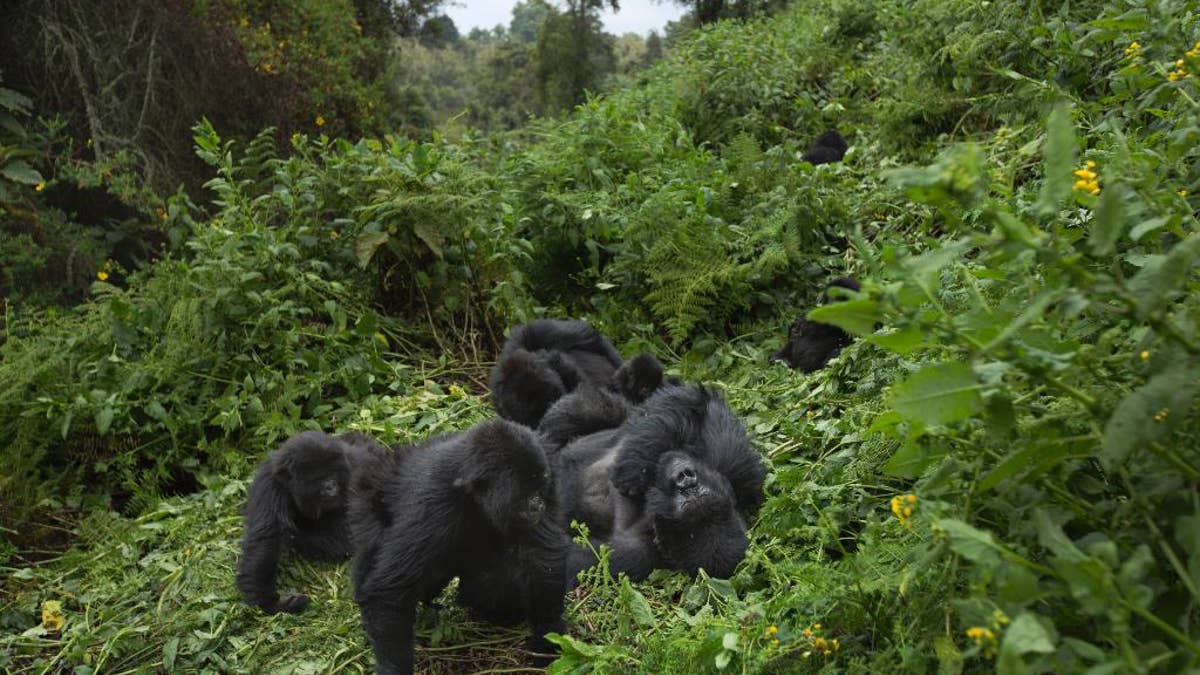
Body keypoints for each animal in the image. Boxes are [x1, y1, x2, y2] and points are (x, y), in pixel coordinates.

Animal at [241, 427, 391, 612]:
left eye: (332, 473)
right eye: (318, 478)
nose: (331, 486)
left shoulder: (356, 466)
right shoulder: (269, 482)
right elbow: (266, 537)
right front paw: (269, 601)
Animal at [350, 417, 568, 667]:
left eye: (540, 487)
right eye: (525, 494)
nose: (538, 505)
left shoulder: (548, 462)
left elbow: (541, 560)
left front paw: (548, 639)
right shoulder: (434, 502)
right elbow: (388, 591)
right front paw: (393, 667)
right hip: (367, 496)